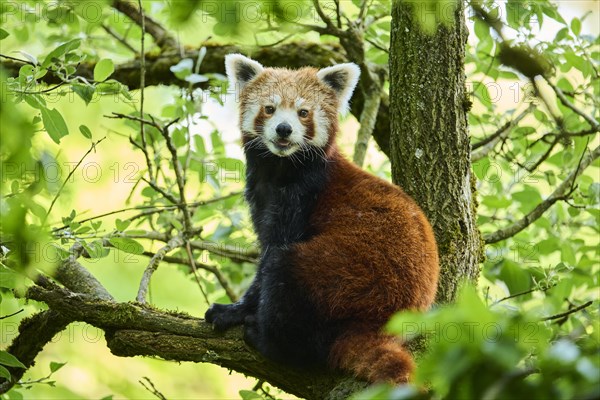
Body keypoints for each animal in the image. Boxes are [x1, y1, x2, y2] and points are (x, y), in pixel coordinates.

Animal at [206, 54, 440, 384]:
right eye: (270, 108)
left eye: (303, 112)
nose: (284, 129)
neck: (281, 168)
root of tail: (381, 326)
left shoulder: (302, 195)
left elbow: (270, 256)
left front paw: (235, 310)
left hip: (346, 278)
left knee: (284, 267)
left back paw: (267, 340)